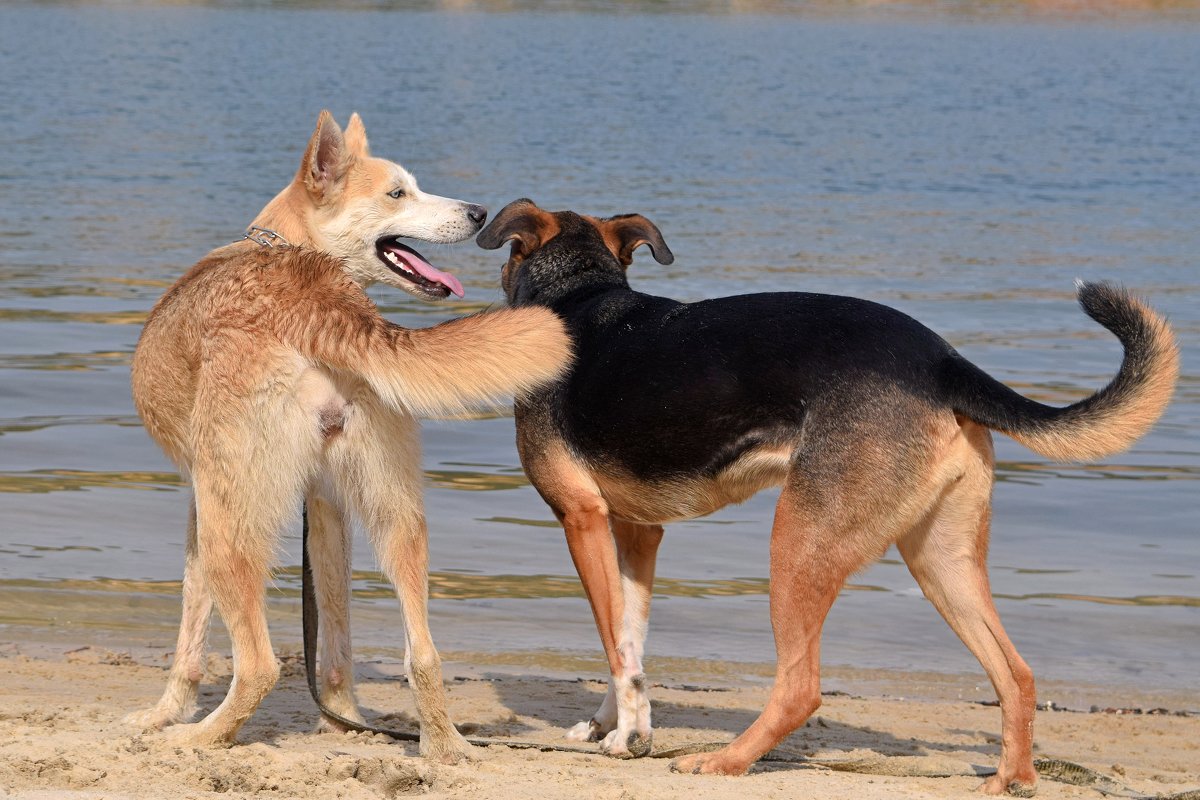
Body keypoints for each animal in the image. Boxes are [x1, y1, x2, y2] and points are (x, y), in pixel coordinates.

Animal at [124, 113, 573, 762]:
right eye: (398, 193)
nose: (479, 211)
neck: (286, 246)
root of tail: (317, 296)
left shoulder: (199, 505)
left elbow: (190, 634)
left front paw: (163, 715)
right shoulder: (327, 505)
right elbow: (335, 641)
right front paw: (343, 718)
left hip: (227, 528)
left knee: (258, 665)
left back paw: (201, 737)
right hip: (397, 518)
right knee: (424, 654)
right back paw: (443, 749)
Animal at [472, 199, 1176, 796]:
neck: (581, 293)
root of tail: (942, 361)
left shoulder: (583, 520)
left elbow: (615, 643)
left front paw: (629, 735)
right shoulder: (638, 532)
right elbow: (630, 637)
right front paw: (616, 725)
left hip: (799, 541)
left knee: (801, 689)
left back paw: (724, 761)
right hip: (940, 560)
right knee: (1017, 673)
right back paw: (1012, 778)